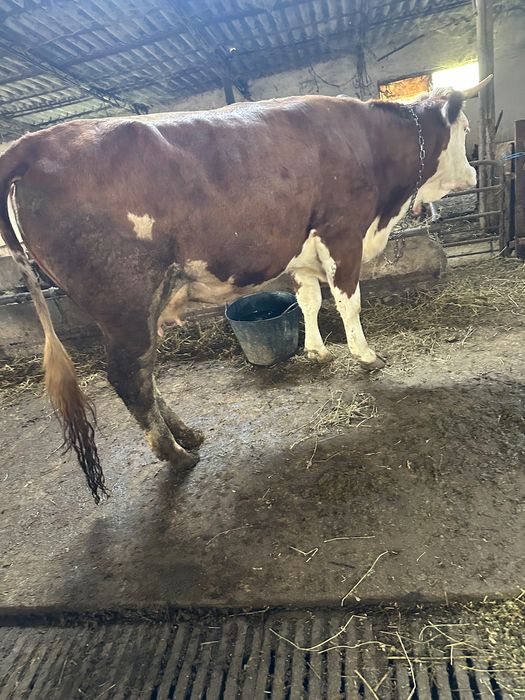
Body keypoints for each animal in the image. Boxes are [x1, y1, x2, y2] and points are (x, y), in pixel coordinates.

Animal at [0, 76, 491, 503]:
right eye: (466, 128)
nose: (472, 177)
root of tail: (35, 141)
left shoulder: (300, 249)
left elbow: (309, 300)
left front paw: (316, 351)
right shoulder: (343, 231)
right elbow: (347, 301)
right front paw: (366, 356)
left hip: (135, 310)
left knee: (143, 376)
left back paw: (187, 434)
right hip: (125, 302)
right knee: (129, 377)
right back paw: (176, 454)